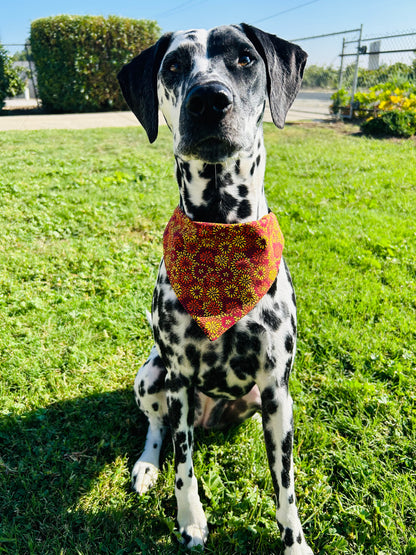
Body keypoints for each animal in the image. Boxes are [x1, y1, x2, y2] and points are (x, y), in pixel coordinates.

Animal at [118, 22, 310, 555]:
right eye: (174, 65)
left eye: (244, 58)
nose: (208, 99)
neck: (221, 232)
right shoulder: (180, 380)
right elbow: (183, 466)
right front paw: (191, 521)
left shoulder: (277, 392)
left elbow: (285, 485)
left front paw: (295, 542)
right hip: (152, 375)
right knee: (158, 428)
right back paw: (146, 465)